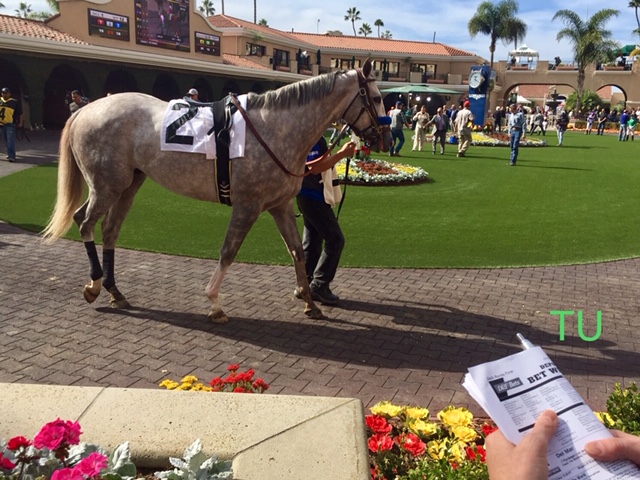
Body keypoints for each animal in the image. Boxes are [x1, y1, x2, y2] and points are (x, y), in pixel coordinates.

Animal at [43, 59, 390, 322]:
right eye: (375, 97)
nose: (383, 138)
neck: (275, 130)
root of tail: (85, 110)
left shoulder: (279, 206)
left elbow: (297, 252)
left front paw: (309, 302)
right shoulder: (248, 206)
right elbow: (228, 252)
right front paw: (214, 303)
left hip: (130, 184)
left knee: (110, 229)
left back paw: (116, 292)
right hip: (106, 185)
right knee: (85, 222)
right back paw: (94, 285)